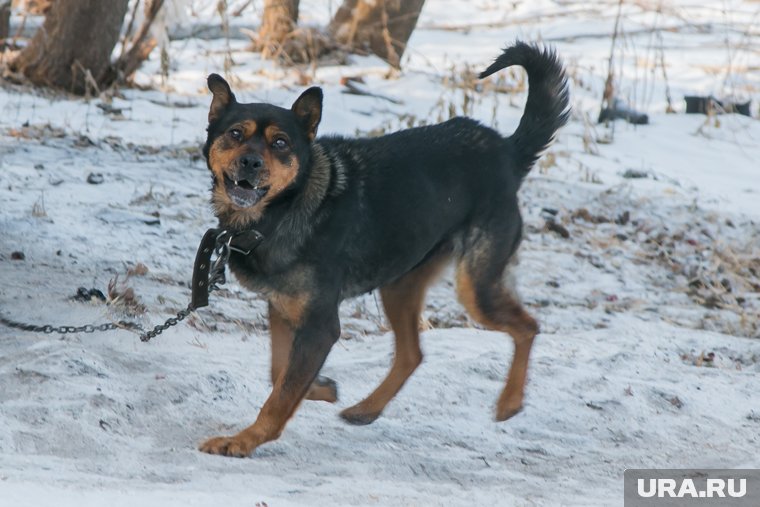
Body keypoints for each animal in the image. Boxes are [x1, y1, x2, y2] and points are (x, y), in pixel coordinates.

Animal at [199, 41, 568, 458]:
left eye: (280, 143)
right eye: (235, 134)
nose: (250, 162)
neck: (284, 210)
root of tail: (505, 149)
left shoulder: (320, 324)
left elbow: (281, 392)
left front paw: (242, 441)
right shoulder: (284, 308)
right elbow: (279, 373)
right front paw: (321, 388)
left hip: (476, 288)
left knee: (528, 326)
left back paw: (509, 402)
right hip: (400, 283)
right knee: (412, 354)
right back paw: (367, 409)